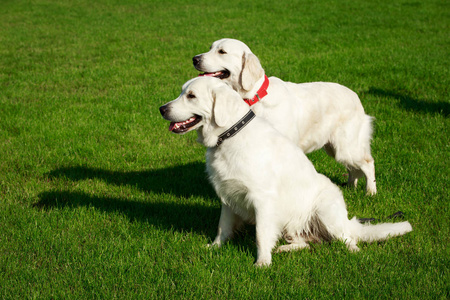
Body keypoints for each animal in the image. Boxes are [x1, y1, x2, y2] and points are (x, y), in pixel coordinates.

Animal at [160, 78, 414, 268]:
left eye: (191, 96)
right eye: (182, 92)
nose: (162, 108)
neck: (229, 136)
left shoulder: (262, 199)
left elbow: (261, 234)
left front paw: (262, 263)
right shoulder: (228, 196)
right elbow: (223, 227)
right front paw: (214, 247)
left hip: (326, 206)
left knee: (348, 236)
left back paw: (353, 249)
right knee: (307, 243)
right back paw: (285, 248)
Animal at [192, 38, 376, 195]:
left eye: (222, 51)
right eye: (210, 47)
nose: (194, 58)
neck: (253, 99)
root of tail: (356, 96)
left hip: (346, 147)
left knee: (368, 163)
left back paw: (370, 192)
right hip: (335, 148)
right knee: (354, 169)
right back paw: (351, 187)